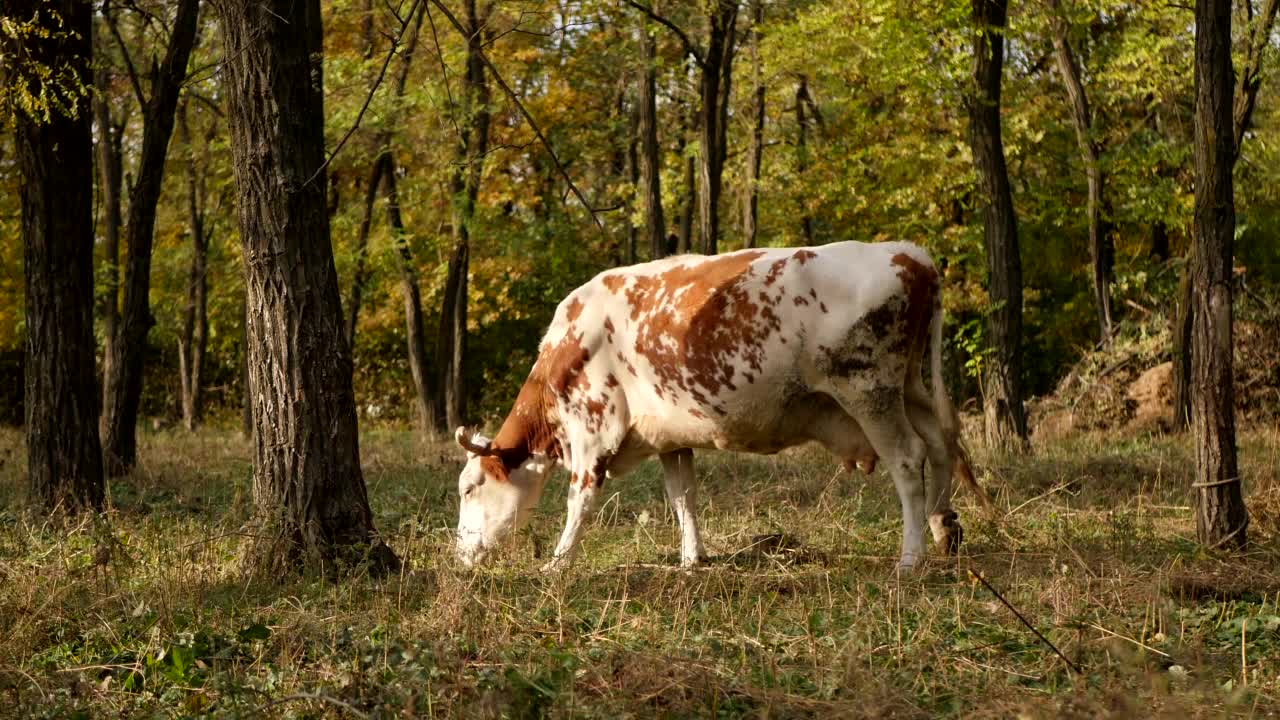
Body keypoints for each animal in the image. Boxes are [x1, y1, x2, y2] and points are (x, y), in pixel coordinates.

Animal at [455, 240, 983, 571]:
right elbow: (682, 496)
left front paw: (559, 563)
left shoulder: (592, 432)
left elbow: (578, 503)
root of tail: (909, 254)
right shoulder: (667, 437)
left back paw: (911, 557)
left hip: (870, 392)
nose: (458, 555)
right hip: (910, 388)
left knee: (908, 459)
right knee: (941, 446)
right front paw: (692, 558)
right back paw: (943, 529)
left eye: (469, 488)